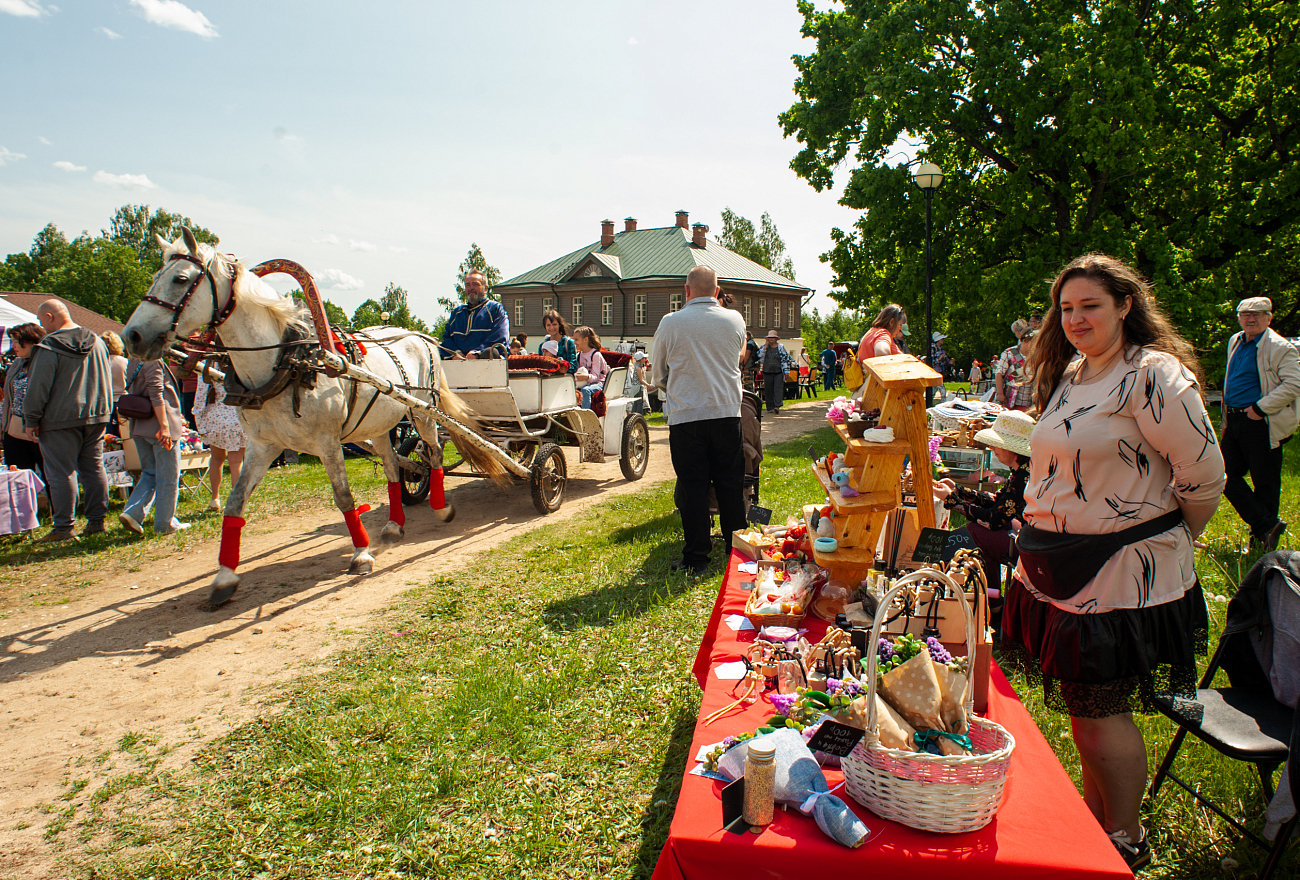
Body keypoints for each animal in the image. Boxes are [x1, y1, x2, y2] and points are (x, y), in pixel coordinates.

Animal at [122, 230, 504, 608]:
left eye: (181, 279)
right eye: (155, 276)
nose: (132, 336)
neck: (287, 362)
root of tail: (418, 337)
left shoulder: (327, 442)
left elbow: (344, 497)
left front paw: (361, 554)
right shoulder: (262, 445)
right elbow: (235, 503)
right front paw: (224, 579)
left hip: (423, 412)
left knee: (435, 455)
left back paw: (440, 507)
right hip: (380, 424)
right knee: (394, 468)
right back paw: (395, 523)